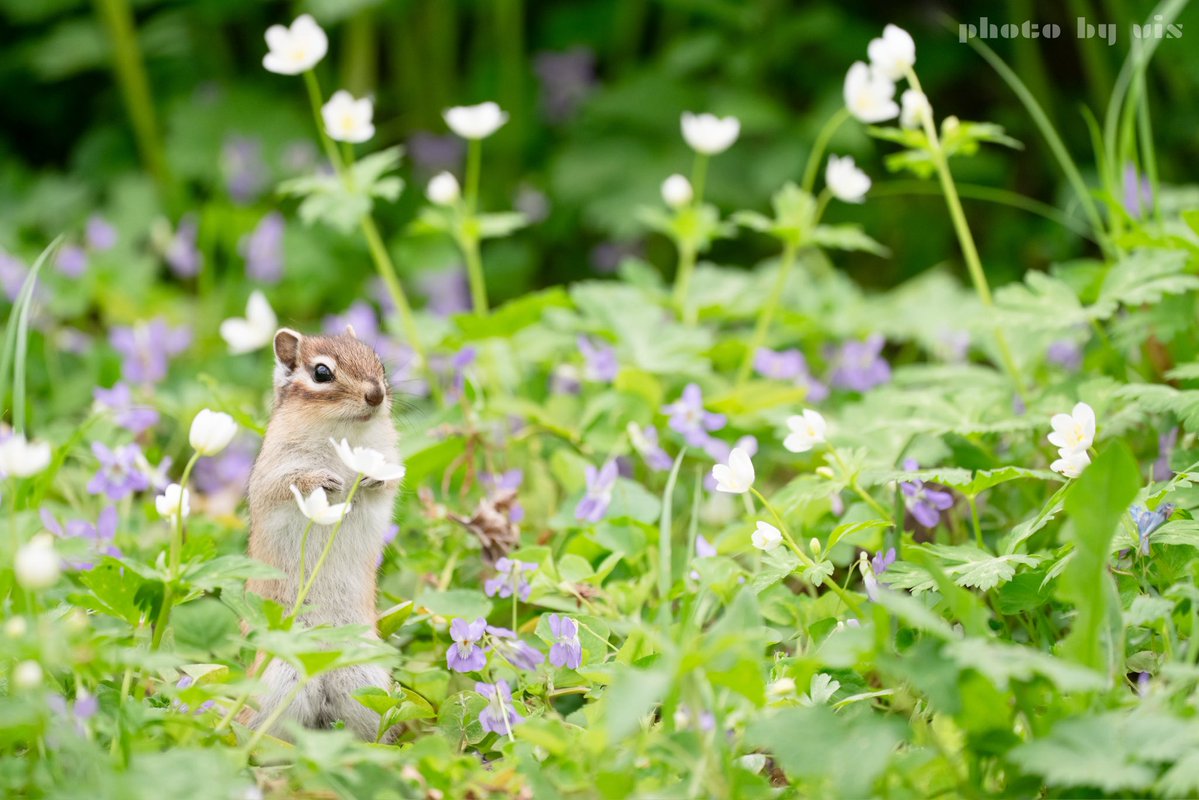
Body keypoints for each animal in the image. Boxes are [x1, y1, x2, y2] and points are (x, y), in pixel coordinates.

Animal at [244, 326, 400, 740]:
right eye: (321, 373)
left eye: (378, 362)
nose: (376, 394)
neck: (341, 432)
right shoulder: (273, 473)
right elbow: (286, 483)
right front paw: (322, 479)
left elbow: (387, 485)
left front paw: (370, 479)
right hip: (278, 678)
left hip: (367, 681)